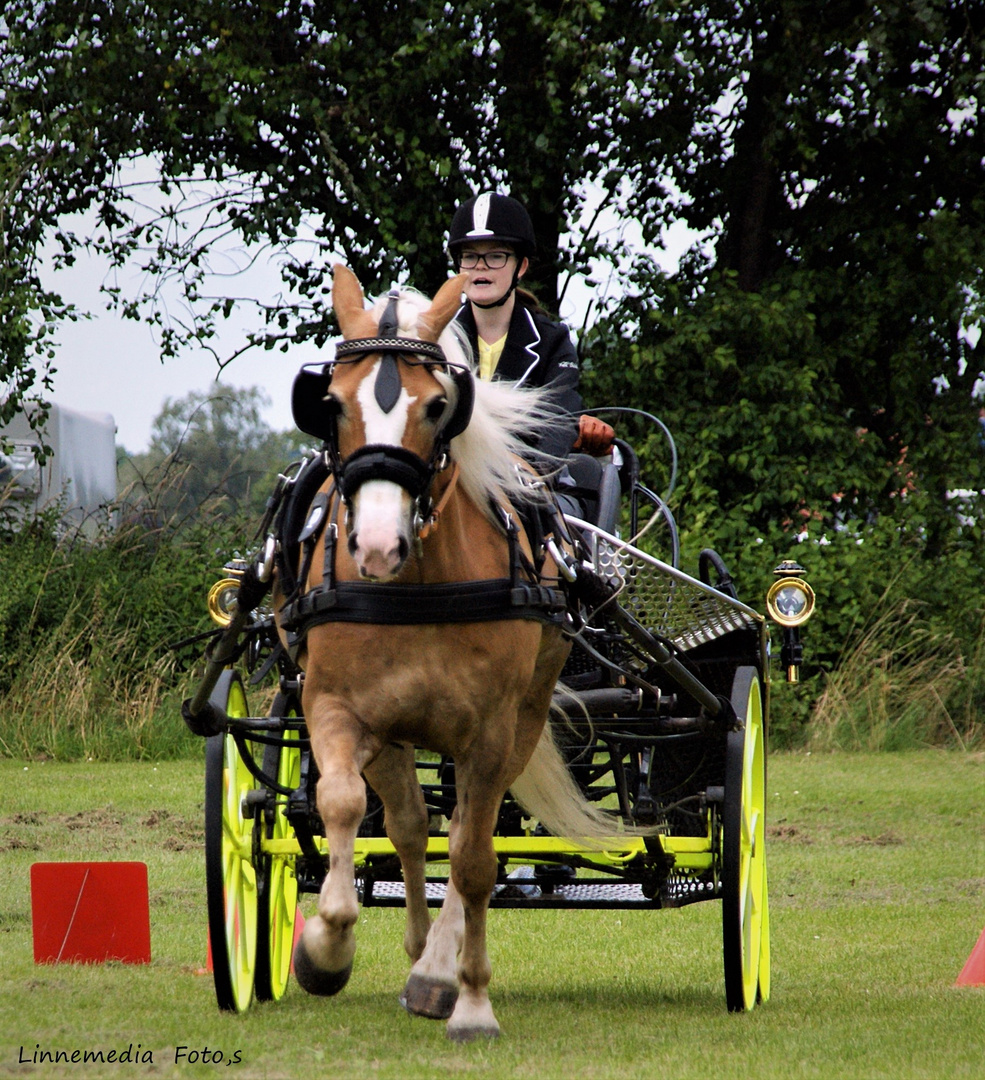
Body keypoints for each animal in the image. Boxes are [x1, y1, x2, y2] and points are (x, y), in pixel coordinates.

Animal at [273, 261, 622, 1036]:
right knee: (408, 825)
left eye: (438, 406)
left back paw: (435, 970)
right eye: (329, 403)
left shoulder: (489, 731)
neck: (419, 585)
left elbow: (471, 860)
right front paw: (323, 947)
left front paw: (468, 998)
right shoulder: (334, 706)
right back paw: (413, 951)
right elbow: (343, 805)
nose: (376, 545)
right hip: (396, 730)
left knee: (466, 831)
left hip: (520, 719)